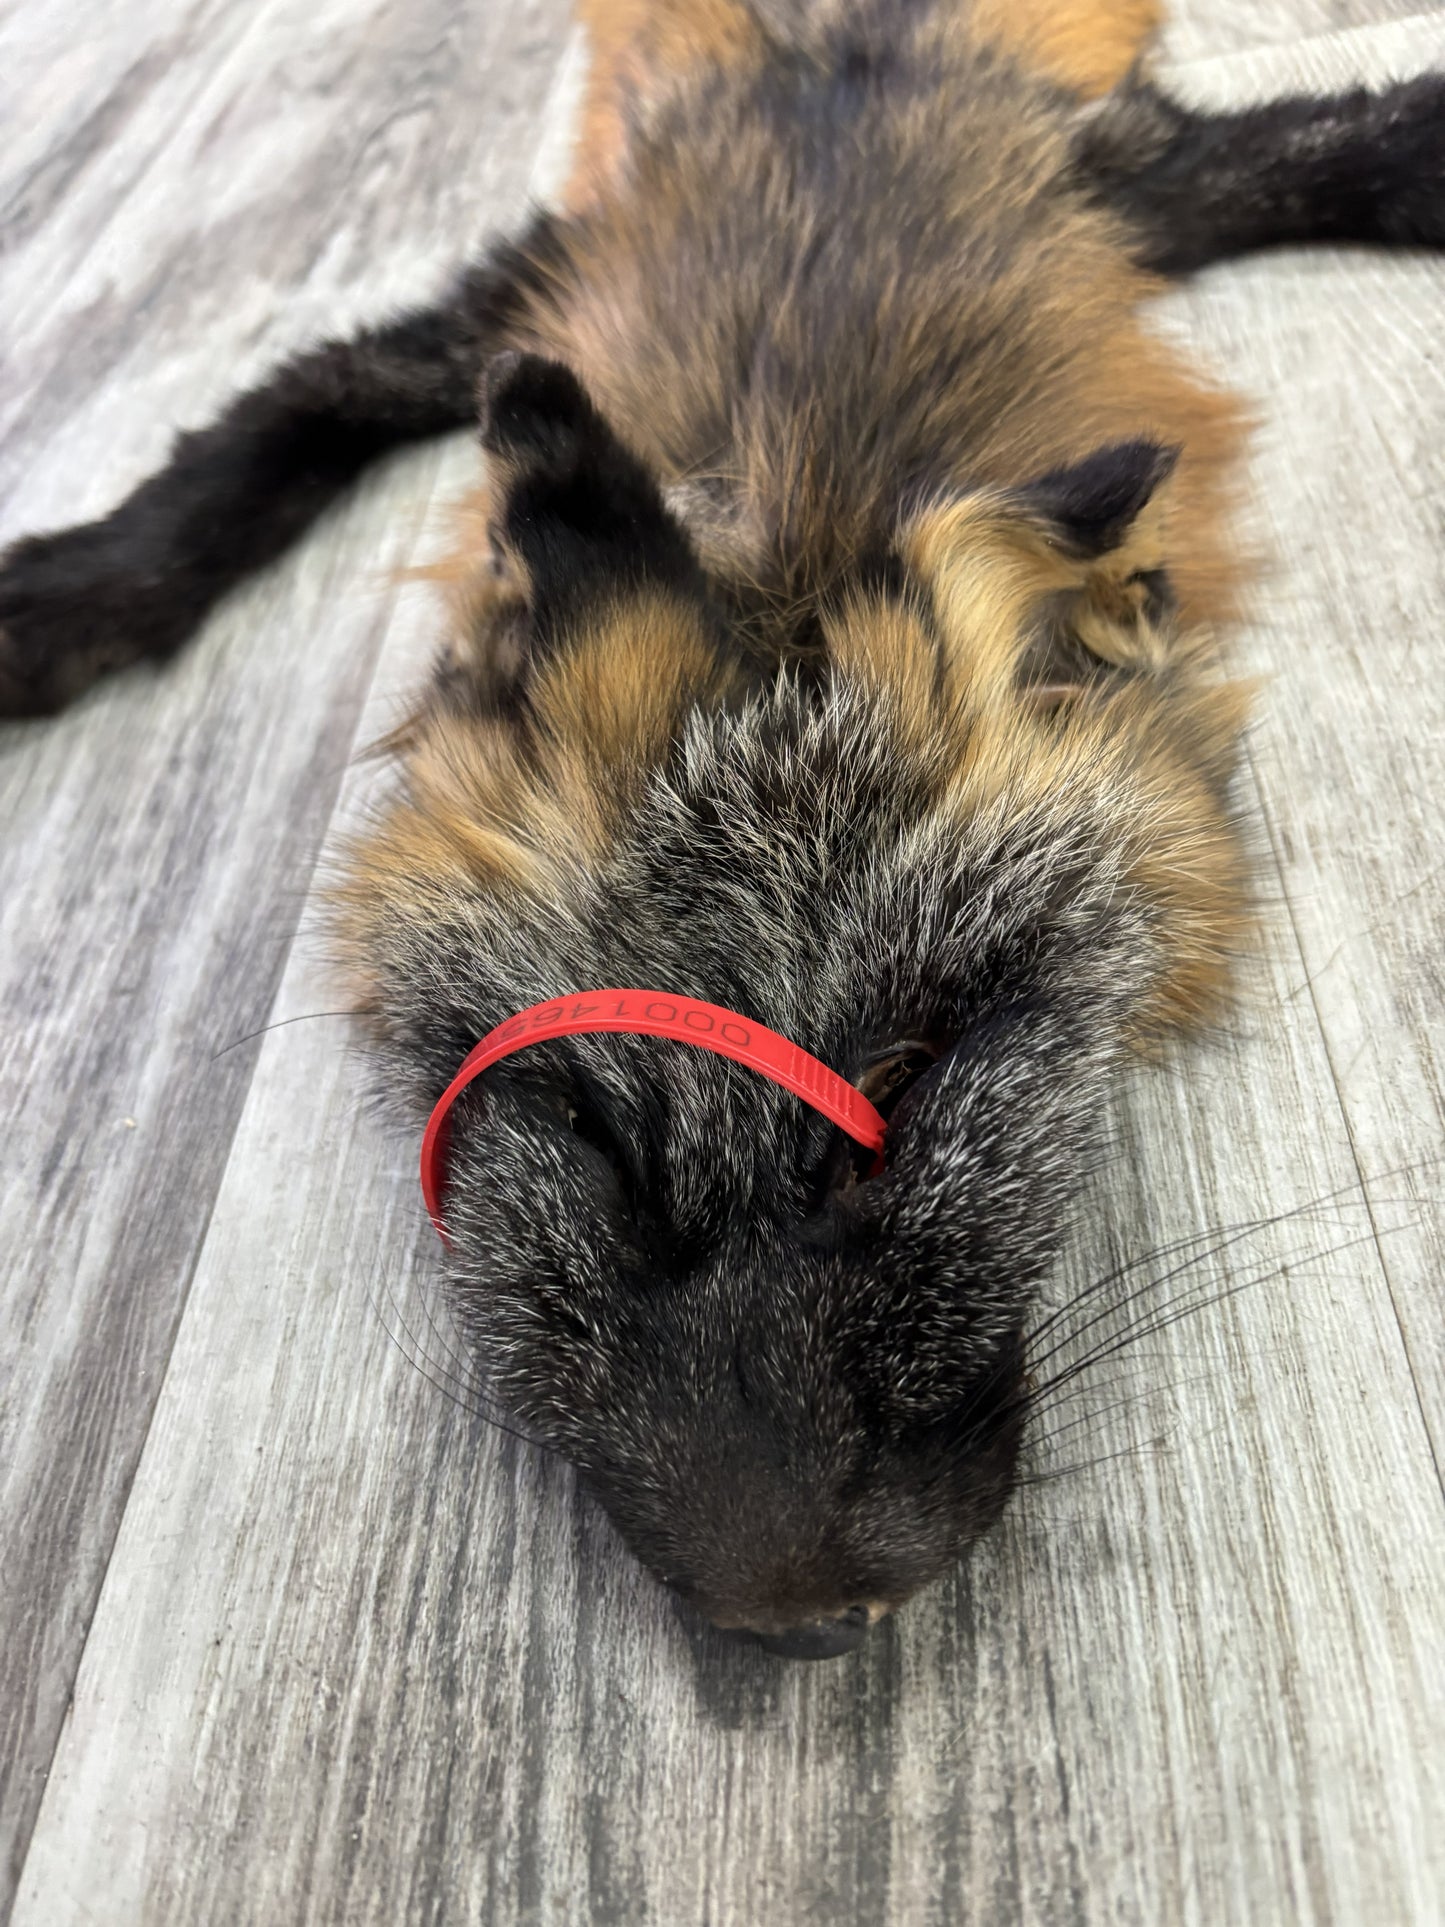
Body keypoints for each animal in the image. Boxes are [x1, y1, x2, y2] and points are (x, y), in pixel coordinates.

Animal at [2, 0, 1441, 1660]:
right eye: (589, 1129)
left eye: (916, 1068)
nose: (797, 1618)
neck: (795, 487)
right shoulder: (531, 277)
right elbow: (286, 412)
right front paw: (69, 586)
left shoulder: (1128, 170)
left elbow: (1355, 144)